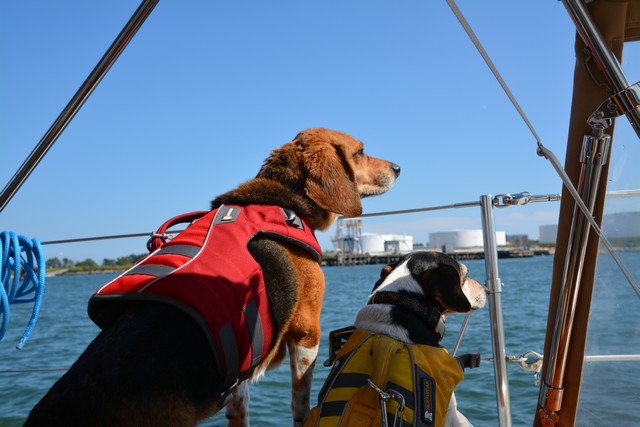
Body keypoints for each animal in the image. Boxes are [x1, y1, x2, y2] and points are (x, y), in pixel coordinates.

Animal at [26, 129, 400, 427]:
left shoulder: (243, 362)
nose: (398, 168)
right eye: (360, 151)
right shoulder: (307, 330)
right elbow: (300, 402)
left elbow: (240, 407)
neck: (286, 196)